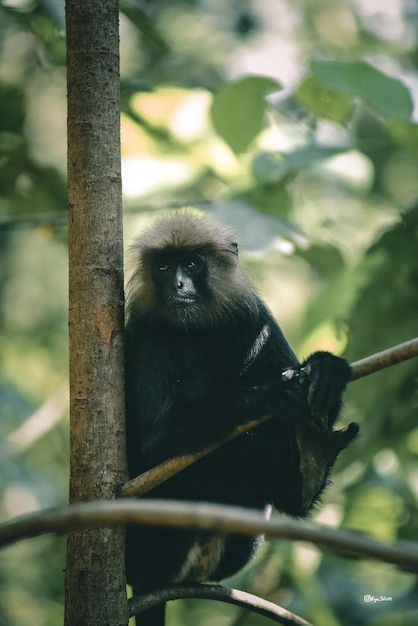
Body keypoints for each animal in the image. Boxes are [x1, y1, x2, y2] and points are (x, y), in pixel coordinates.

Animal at [124, 207, 360, 620]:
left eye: (191, 264)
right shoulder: (149, 330)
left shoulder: (253, 320)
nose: (178, 285)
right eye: (165, 268)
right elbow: (158, 444)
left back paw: (310, 464)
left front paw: (323, 369)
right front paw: (266, 396)